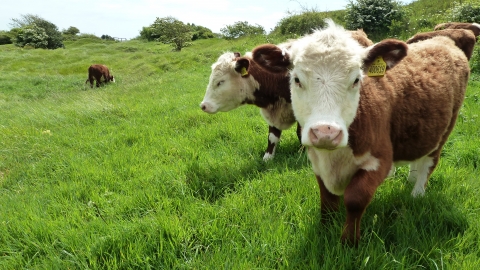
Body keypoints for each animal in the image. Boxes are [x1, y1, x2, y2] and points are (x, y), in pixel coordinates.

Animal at [251, 20, 472, 246]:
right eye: (296, 79)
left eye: (357, 79)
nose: (325, 132)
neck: (334, 157)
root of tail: (442, 40)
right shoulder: (317, 162)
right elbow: (327, 201)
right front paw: (325, 231)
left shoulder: (379, 160)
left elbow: (355, 199)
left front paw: (349, 242)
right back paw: (410, 178)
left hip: (445, 130)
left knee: (429, 163)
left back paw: (417, 193)